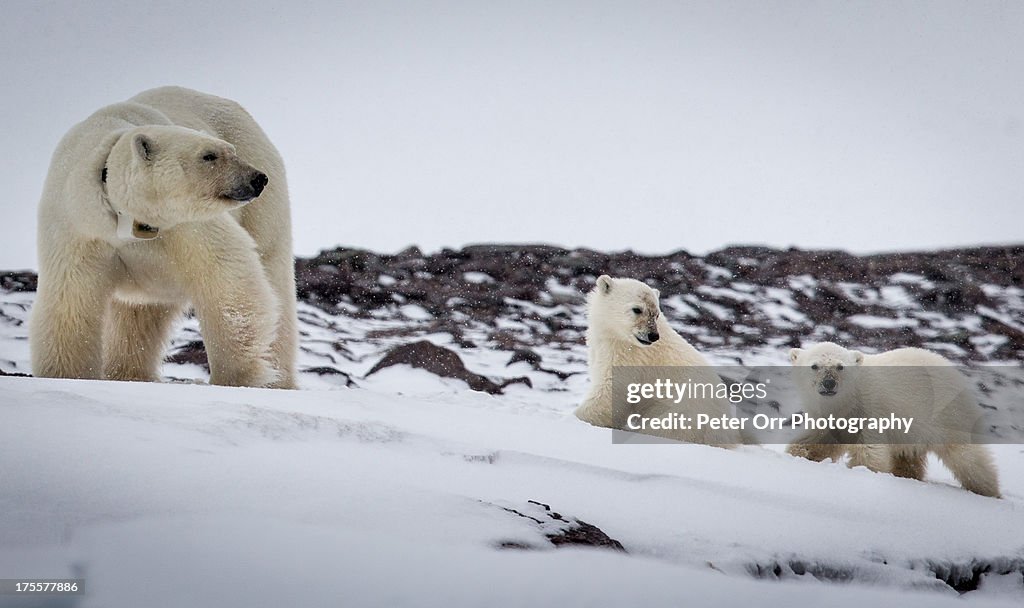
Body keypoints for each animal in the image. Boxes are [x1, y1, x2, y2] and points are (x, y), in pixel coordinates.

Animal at [32, 84, 296, 384]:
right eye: (209, 155)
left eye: (230, 149)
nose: (257, 178)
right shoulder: (79, 226)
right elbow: (71, 301)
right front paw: (65, 375)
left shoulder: (183, 224)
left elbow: (225, 274)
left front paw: (235, 377)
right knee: (137, 317)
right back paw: (130, 375)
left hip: (263, 207)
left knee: (273, 275)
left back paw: (280, 381)